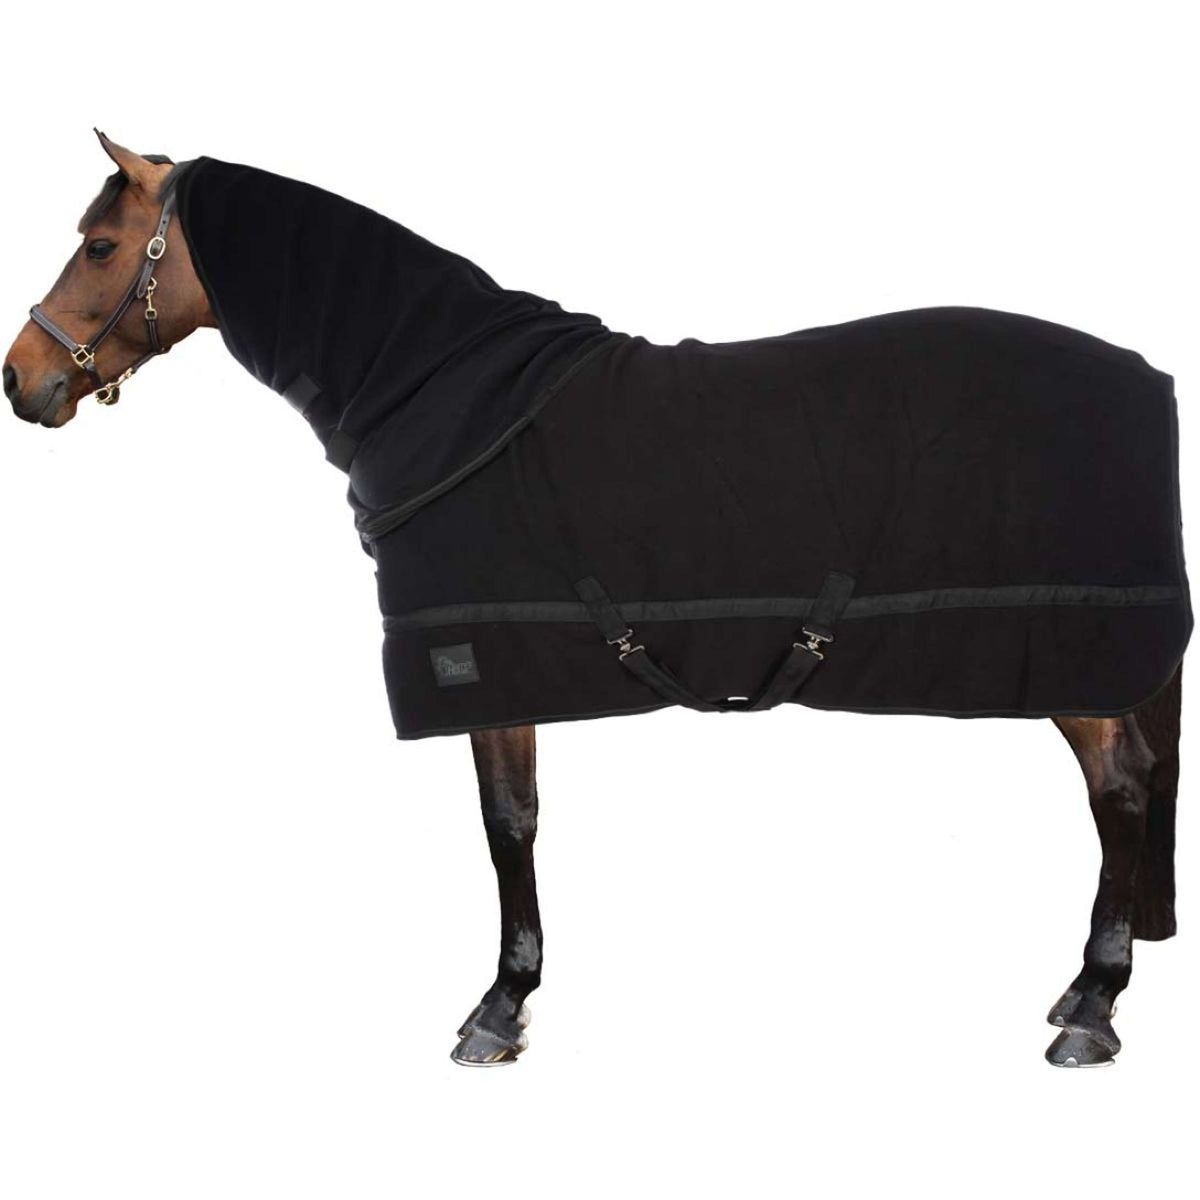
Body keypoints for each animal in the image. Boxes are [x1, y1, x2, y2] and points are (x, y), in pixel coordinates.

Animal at [4, 131, 1186, 1068]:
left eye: (100, 246)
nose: (21, 380)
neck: (444, 393)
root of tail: (1145, 375)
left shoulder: (480, 665)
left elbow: (506, 826)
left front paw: (498, 1008)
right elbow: (518, 820)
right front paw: (511, 999)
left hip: (1074, 657)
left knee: (1122, 789)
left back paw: (1093, 1006)